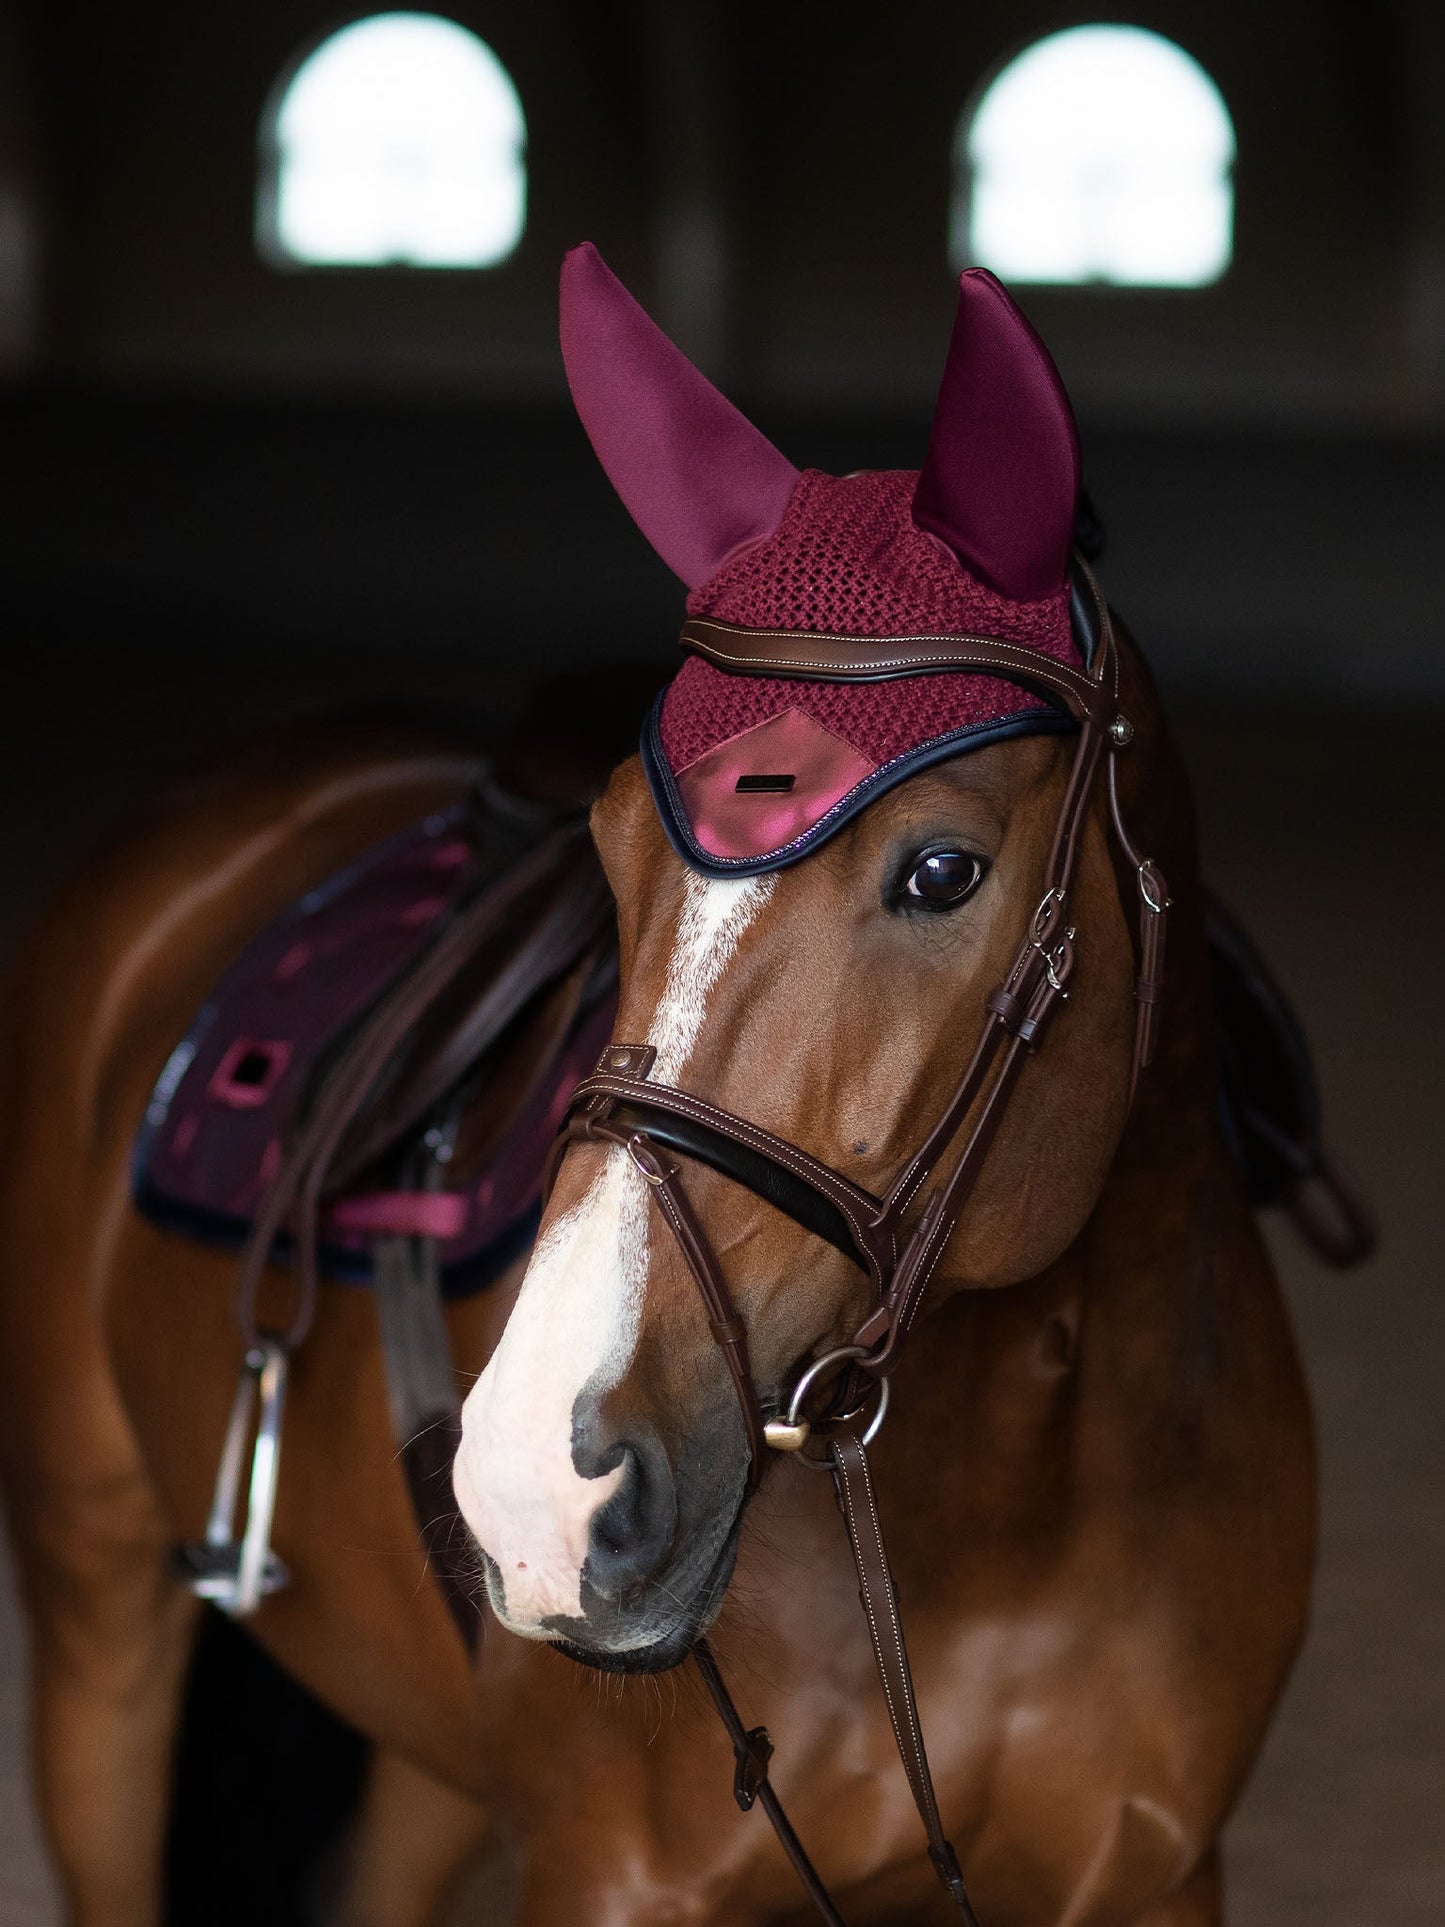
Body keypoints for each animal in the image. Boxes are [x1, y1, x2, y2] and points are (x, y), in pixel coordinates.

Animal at [0, 246, 1325, 1926]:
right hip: (99, 1607)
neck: (1005, 1495)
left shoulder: (1156, 1873)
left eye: (942, 869)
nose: (532, 1483)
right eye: (613, 841)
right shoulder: (610, 1876)